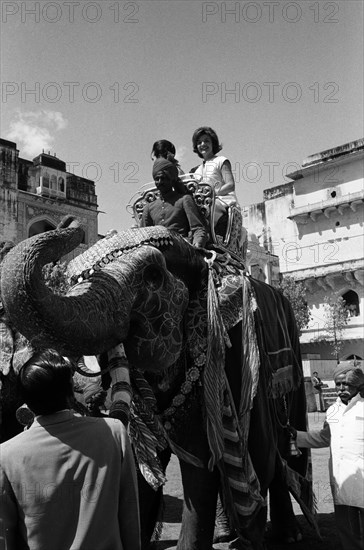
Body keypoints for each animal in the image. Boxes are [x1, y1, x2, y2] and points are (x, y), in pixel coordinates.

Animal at [0, 219, 314, 550]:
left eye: (152, 275)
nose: (70, 222)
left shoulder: (235, 351)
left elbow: (204, 463)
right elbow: (143, 460)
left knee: (276, 448)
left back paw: (285, 535)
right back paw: (228, 534)